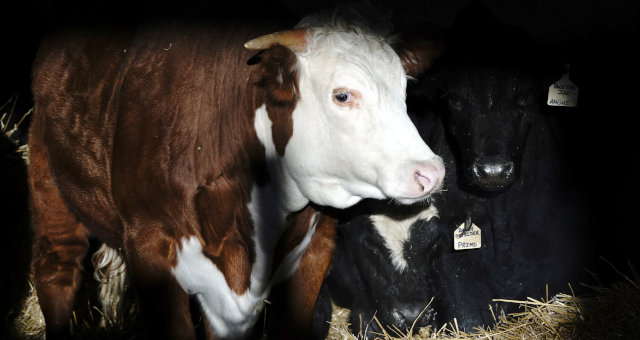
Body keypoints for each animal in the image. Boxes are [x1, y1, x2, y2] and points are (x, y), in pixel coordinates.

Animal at [26, 13, 444, 340]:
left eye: (404, 91)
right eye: (342, 95)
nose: (431, 172)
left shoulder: (314, 250)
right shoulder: (149, 245)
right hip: (50, 190)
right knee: (57, 272)